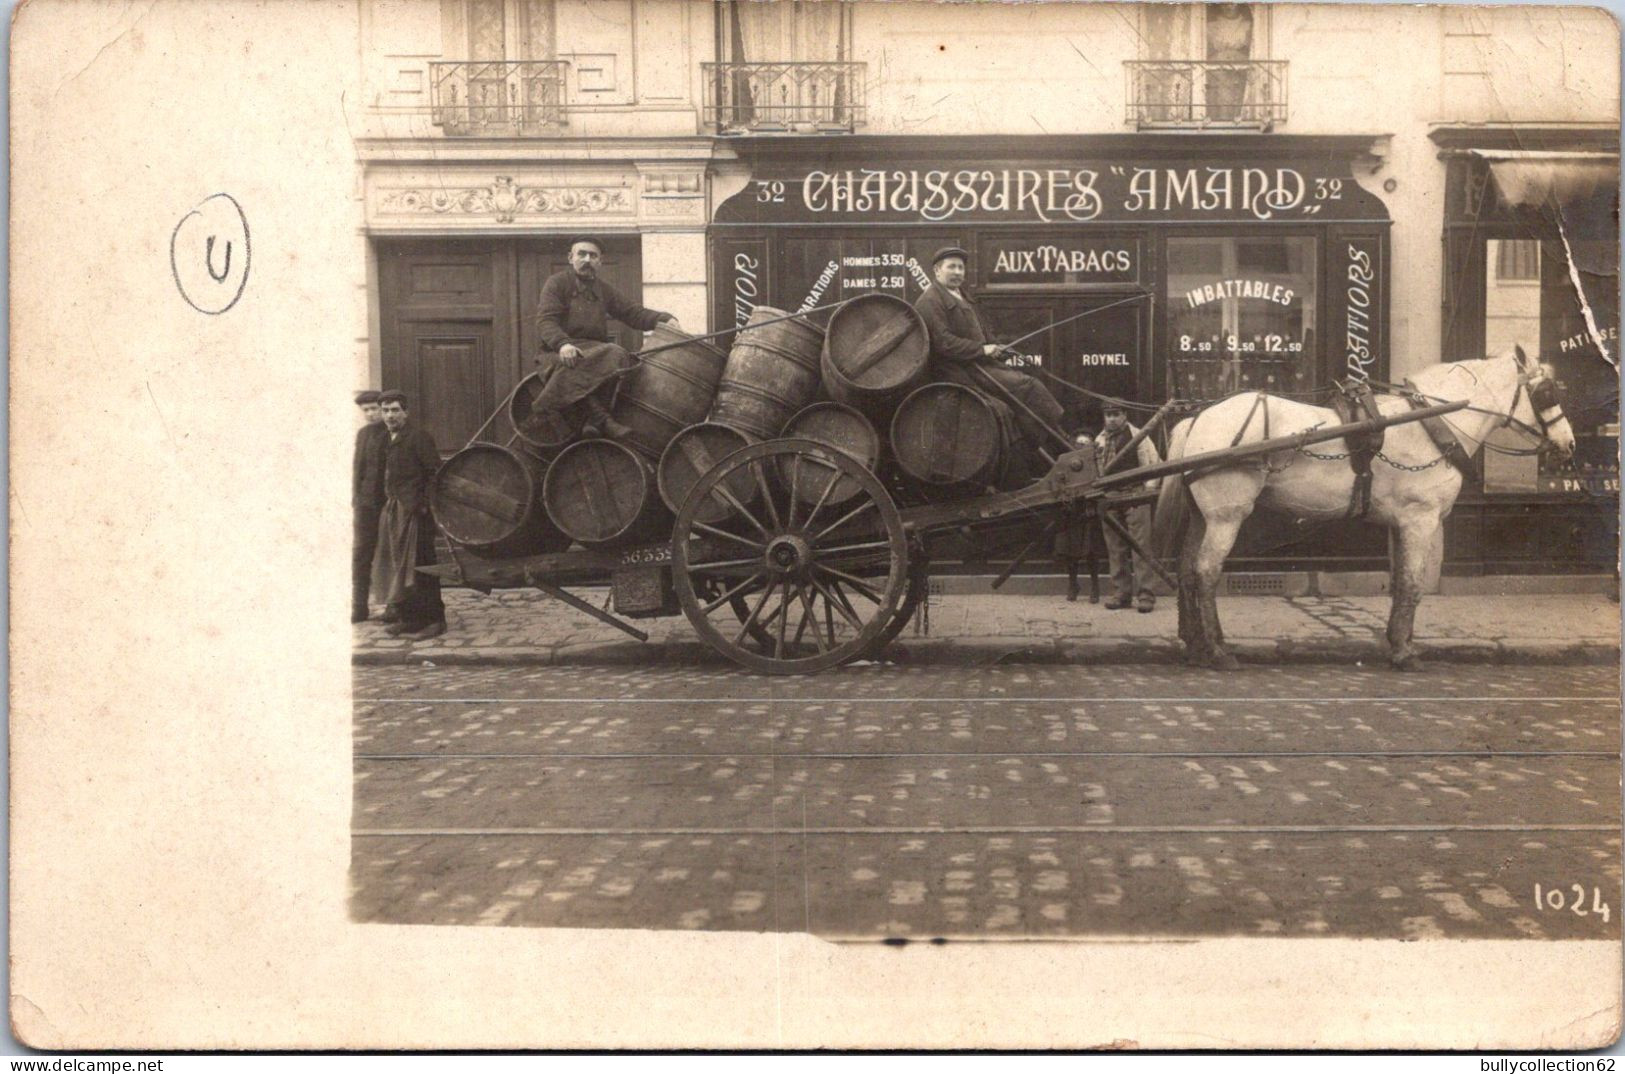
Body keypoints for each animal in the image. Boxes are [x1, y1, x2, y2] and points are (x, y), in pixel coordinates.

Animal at [1157, 347, 1573, 669]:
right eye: (1546, 392)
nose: (1568, 444)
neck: (1433, 424)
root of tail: (1199, 418)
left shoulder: (1400, 523)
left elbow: (1401, 582)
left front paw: (1397, 642)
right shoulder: (1420, 520)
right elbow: (1412, 583)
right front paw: (1404, 652)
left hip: (1203, 516)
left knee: (1187, 570)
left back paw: (1196, 646)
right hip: (1226, 516)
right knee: (1206, 572)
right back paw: (1217, 650)